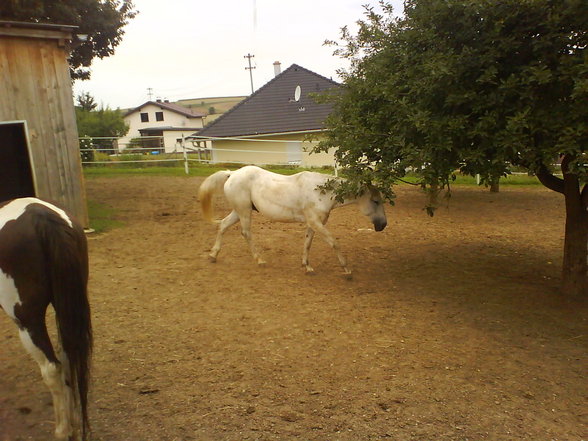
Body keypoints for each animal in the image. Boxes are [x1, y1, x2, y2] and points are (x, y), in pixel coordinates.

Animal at [200, 165, 388, 276]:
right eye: (376, 201)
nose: (383, 225)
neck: (322, 191)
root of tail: (231, 173)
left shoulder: (314, 223)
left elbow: (307, 243)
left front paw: (307, 266)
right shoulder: (316, 223)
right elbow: (334, 243)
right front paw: (347, 269)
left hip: (239, 211)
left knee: (223, 225)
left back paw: (213, 255)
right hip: (244, 211)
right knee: (246, 233)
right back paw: (260, 260)